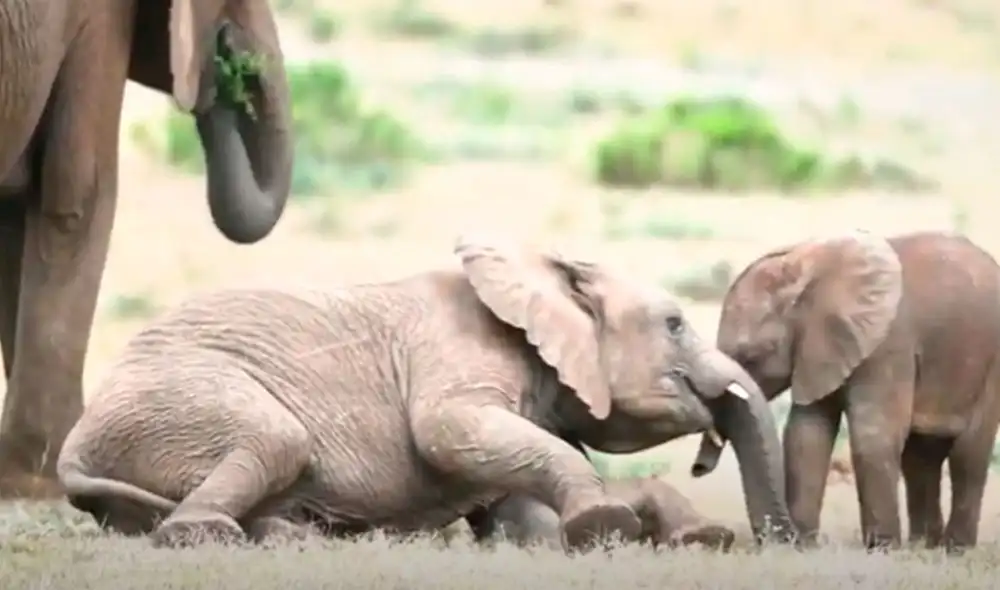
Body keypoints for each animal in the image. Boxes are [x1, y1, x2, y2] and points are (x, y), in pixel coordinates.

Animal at [691, 230, 1000, 551]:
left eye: (749, 356)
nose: (698, 469)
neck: (809, 269)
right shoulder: (819, 347)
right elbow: (807, 434)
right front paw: (805, 547)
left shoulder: (887, 345)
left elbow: (872, 434)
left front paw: (882, 550)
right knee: (920, 458)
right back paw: (922, 546)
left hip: (990, 362)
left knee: (968, 454)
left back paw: (955, 549)